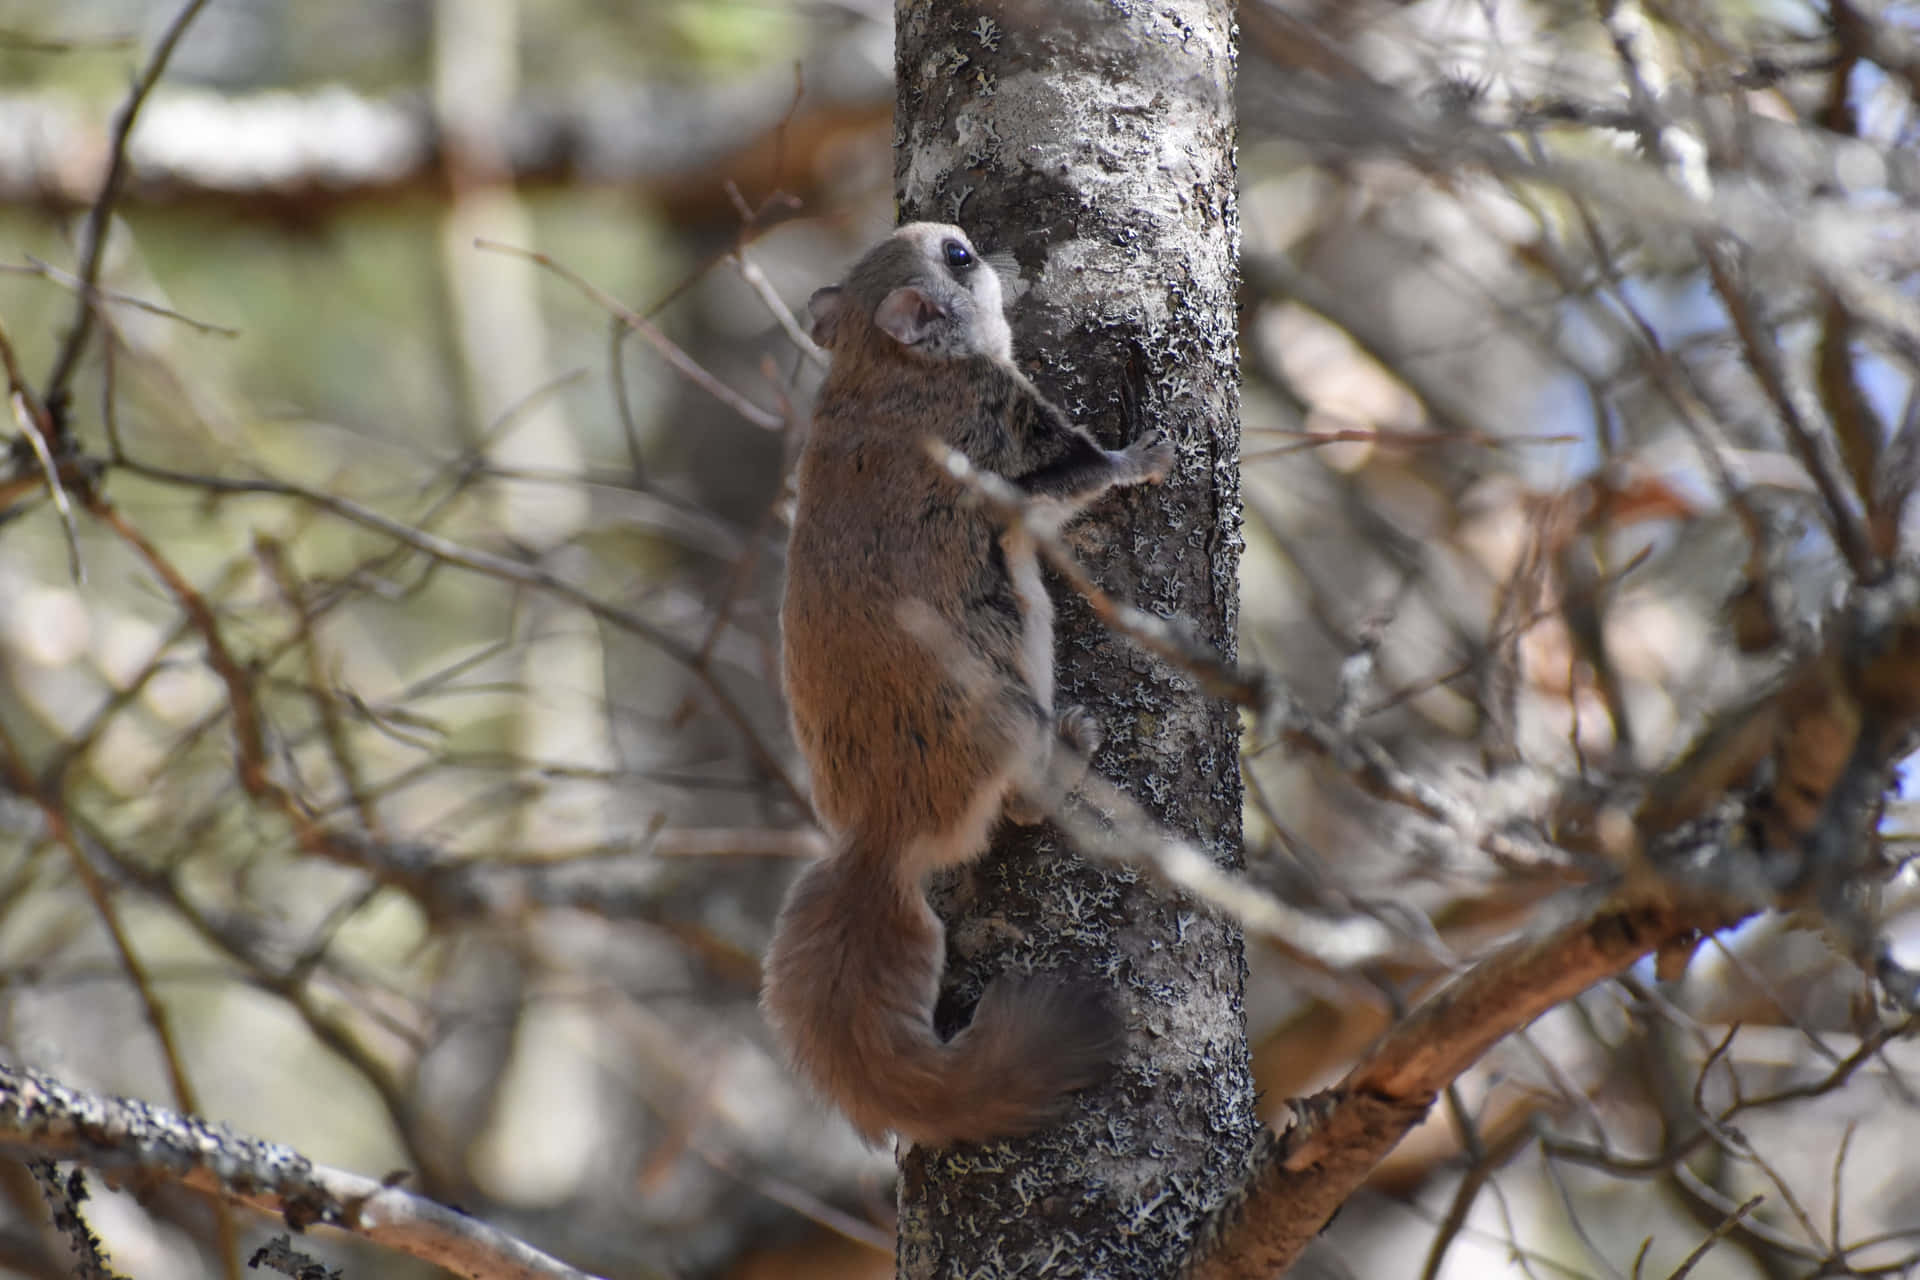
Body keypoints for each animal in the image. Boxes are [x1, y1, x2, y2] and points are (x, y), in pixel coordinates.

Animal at [760, 225, 1175, 1143]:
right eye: (956, 257)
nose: (980, 242)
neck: (884, 371)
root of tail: (882, 837)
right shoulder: (1010, 436)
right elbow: (1082, 476)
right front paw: (1148, 453)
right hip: (1011, 701)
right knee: (1020, 802)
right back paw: (1074, 746)